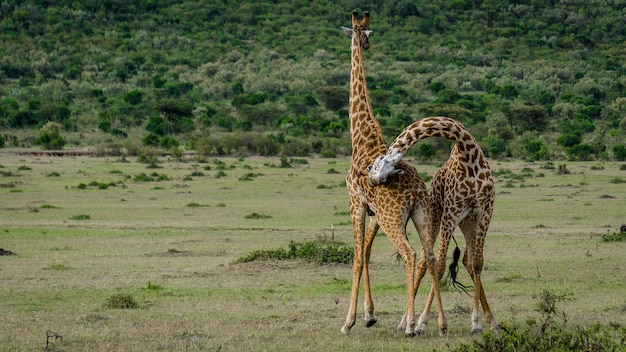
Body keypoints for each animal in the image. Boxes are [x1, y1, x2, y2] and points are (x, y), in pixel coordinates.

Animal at [338, 10, 446, 336]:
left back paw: (409, 324)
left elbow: (357, 257)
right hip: (420, 215)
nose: (365, 45)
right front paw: (369, 315)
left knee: (411, 254)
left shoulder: (356, 203)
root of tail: (413, 191)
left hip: (393, 220)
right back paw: (439, 323)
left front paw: (349, 321)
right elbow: (367, 253)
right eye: (365, 33)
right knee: (430, 255)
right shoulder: (374, 213)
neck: (361, 137)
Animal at [366, 117, 498, 334]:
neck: (468, 154)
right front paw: (423, 322)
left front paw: (479, 322)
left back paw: (489, 320)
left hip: (468, 223)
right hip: (437, 219)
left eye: (378, 163)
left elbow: (478, 263)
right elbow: (440, 267)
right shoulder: (451, 212)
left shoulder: (485, 211)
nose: (370, 177)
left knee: (467, 260)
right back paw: (406, 322)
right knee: (424, 262)